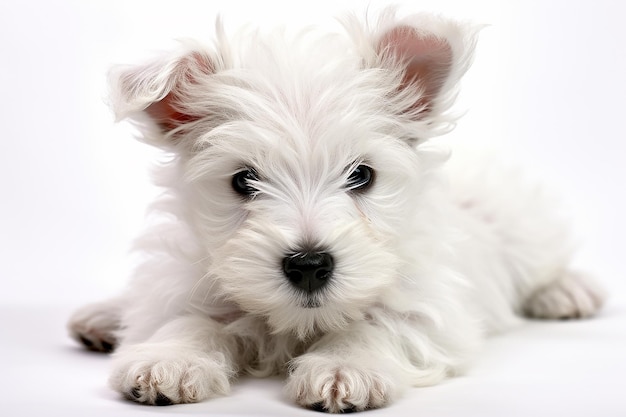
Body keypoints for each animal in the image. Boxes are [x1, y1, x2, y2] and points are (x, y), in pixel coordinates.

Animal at [68, 8, 604, 412]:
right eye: (243, 180)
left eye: (361, 174)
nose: (309, 265)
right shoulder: (186, 281)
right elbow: (189, 319)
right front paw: (168, 360)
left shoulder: (430, 310)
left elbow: (376, 325)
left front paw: (345, 366)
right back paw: (102, 316)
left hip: (519, 223)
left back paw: (567, 291)